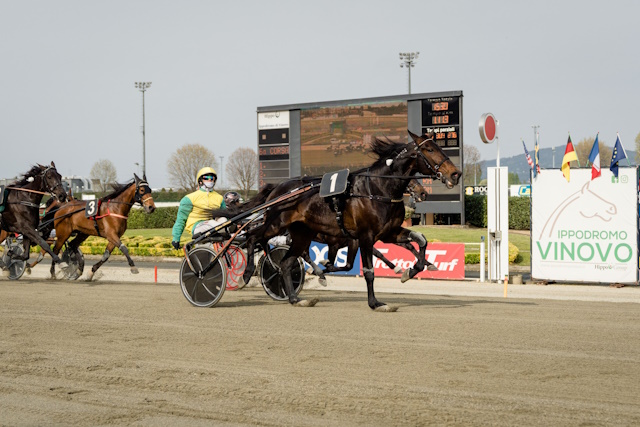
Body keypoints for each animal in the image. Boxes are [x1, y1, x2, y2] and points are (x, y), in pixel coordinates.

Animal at [224, 131, 461, 310]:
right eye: (430, 149)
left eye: (439, 147)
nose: (455, 174)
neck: (377, 189)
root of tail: (278, 187)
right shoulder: (364, 236)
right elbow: (368, 271)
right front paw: (375, 303)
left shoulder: (388, 232)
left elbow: (420, 240)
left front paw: (411, 271)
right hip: (276, 223)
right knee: (252, 237)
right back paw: (245, 275)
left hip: (302, 233)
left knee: (286, 262)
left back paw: (295, 298)